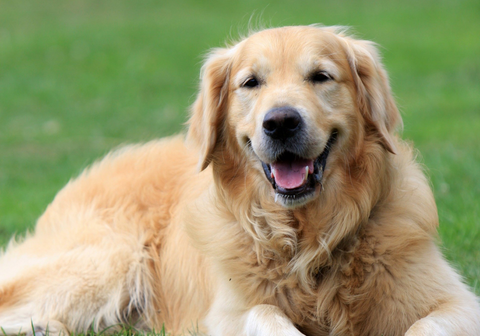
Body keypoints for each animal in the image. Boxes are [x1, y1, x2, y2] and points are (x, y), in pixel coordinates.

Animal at [0, 25, 480, 334]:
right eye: (251, 82)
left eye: (321, 76)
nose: (281, 122)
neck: (309, 237)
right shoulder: (229, 311)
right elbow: (266, 316)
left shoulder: (457, 302)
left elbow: (424, 327)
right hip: (107, 263)